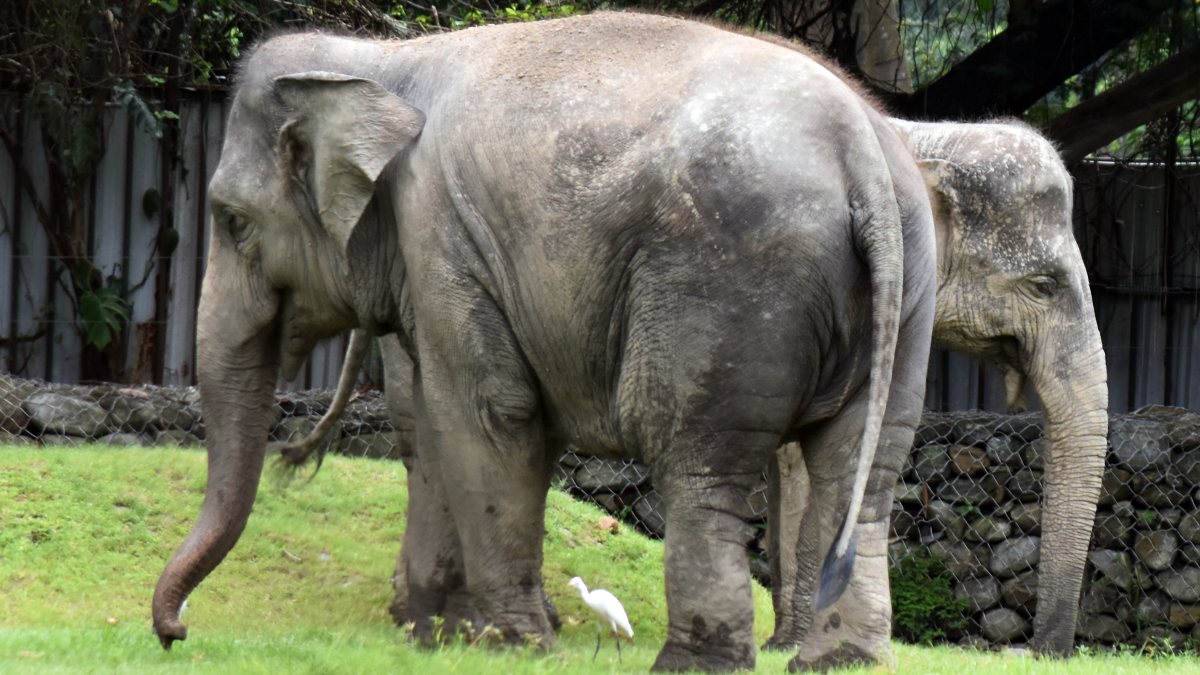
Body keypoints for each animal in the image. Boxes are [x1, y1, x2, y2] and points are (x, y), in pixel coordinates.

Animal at [149, 13, 939, 672]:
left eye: (232, 220)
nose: (175, 632)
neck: (377, 63)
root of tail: (860, 149)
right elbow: (434, 425)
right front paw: (438, 632)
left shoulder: (440, 234)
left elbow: (487, 415)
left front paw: (512, 643)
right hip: (908, 293)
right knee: (864, 473)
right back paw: (842, 661)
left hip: (724, 287)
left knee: (700, 468)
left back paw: (691, 664)